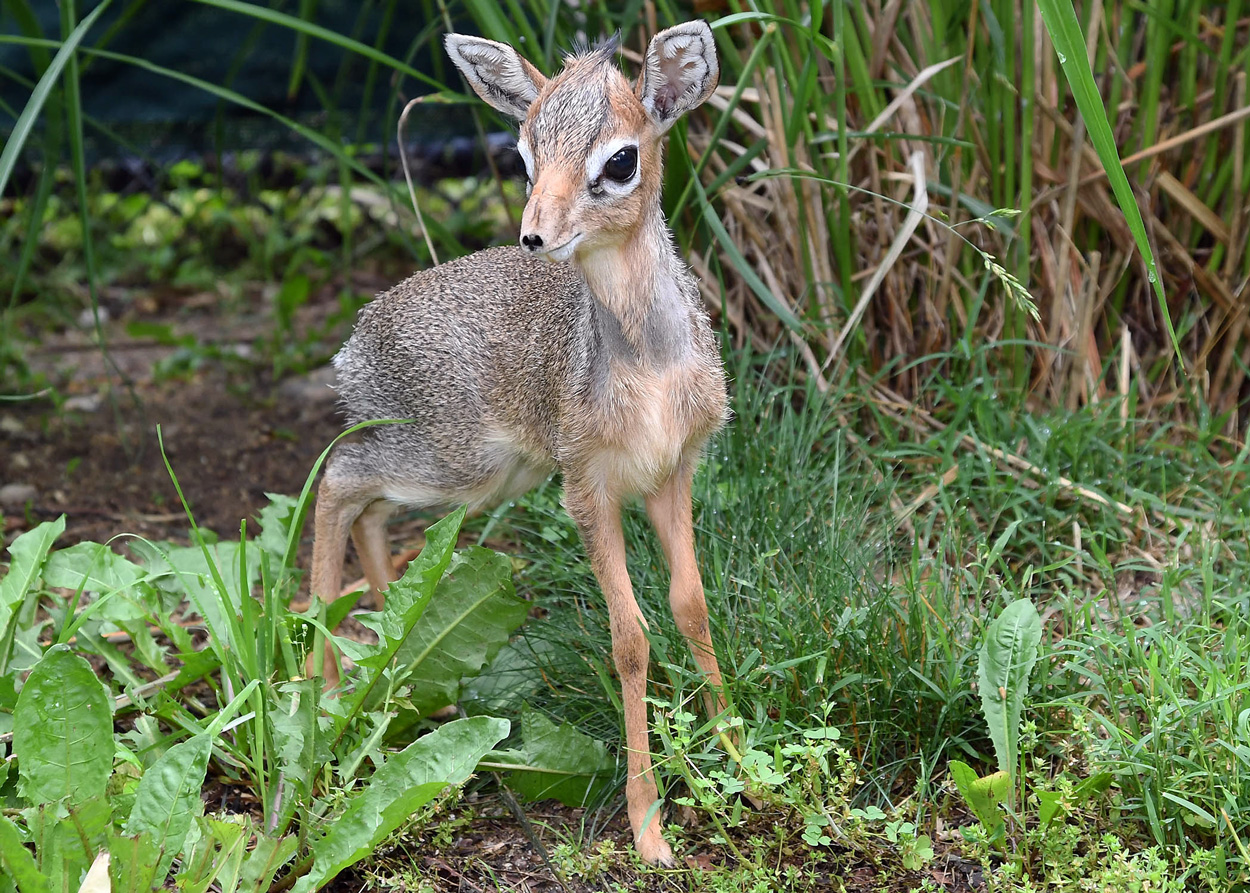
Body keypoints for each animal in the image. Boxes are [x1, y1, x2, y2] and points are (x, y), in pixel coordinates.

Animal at [310, 22, 730, 860]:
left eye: (621, 159)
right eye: (524, 156)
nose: (536, 234)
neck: (650, 365)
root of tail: (356, 339)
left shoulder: (672, 473)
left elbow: (692, 605)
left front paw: (740, 750)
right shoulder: (587, 488)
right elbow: (630, 638)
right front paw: (649, 825)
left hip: (476, 475)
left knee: (367, 508)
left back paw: (392, 671)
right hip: (452, 460)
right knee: (336, 478)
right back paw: (320, 683)